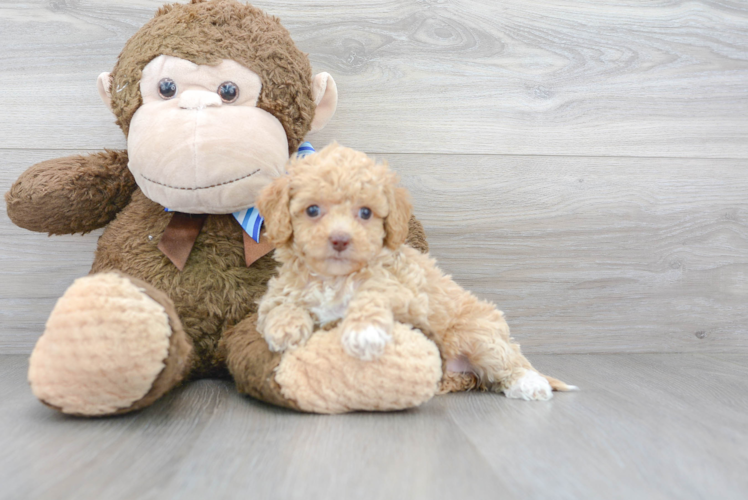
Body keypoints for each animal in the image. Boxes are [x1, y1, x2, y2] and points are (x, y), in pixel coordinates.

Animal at [254, 143, 576, 400]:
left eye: (365, 212)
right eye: (312, 210)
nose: (340, 239)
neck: (334, 278)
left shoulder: (408, 296)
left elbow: (373, 294)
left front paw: (364, 332)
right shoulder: (280, 291)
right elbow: (280, 304)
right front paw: (285, 328)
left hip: (477, 336)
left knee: (509, 364)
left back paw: (530, 384)